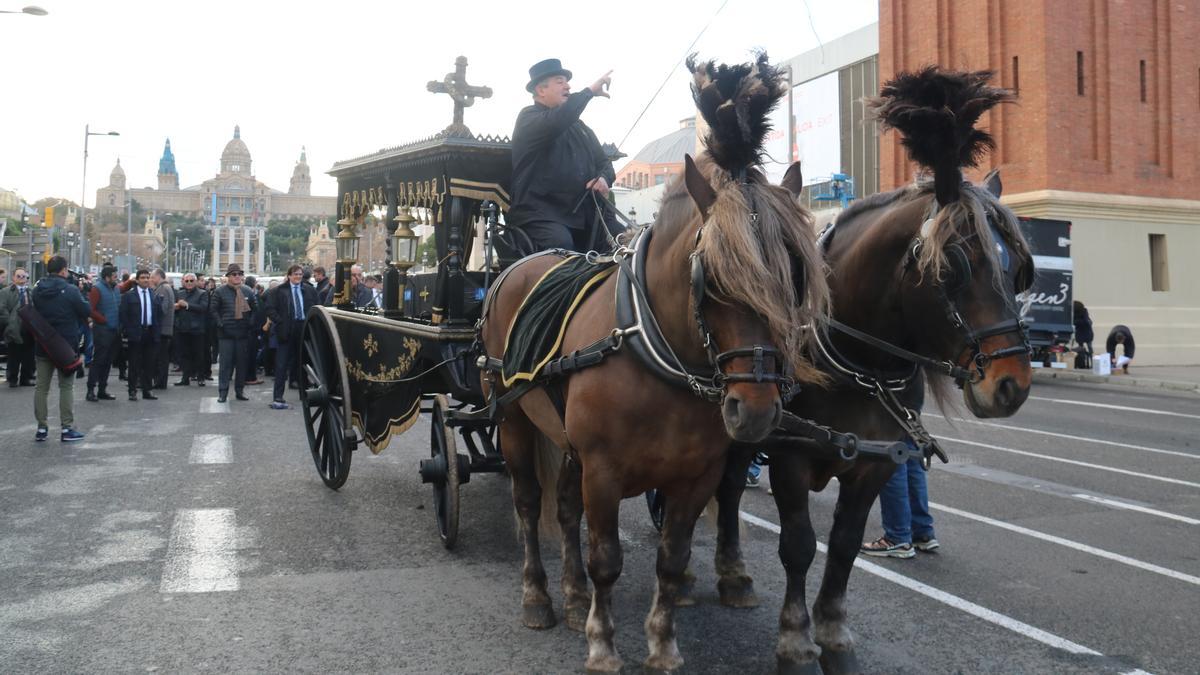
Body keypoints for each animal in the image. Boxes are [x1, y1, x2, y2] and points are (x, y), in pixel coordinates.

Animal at [477, 55, 825, 667]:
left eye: (796, 275)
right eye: (712, 276)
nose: (757, 408)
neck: (660, 356)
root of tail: (514, 266)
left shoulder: (696, 475)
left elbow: (671, 558)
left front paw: (662, 645)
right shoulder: (604, 470)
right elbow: (607, 559)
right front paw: (603, 645)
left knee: (562, 509)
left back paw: (571, 596)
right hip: (515, 418)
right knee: (527, 503)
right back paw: (539, 597)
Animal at [705, 65, 1036, 667]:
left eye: (1017, 268)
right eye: (954, 266)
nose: (1011, 384)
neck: (858, 362)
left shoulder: (875, 465)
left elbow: (843, 546)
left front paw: (834, 633)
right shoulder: (788, 458)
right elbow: (797, 546)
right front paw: (795, 637)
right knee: (730, 489)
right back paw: (731, 571)